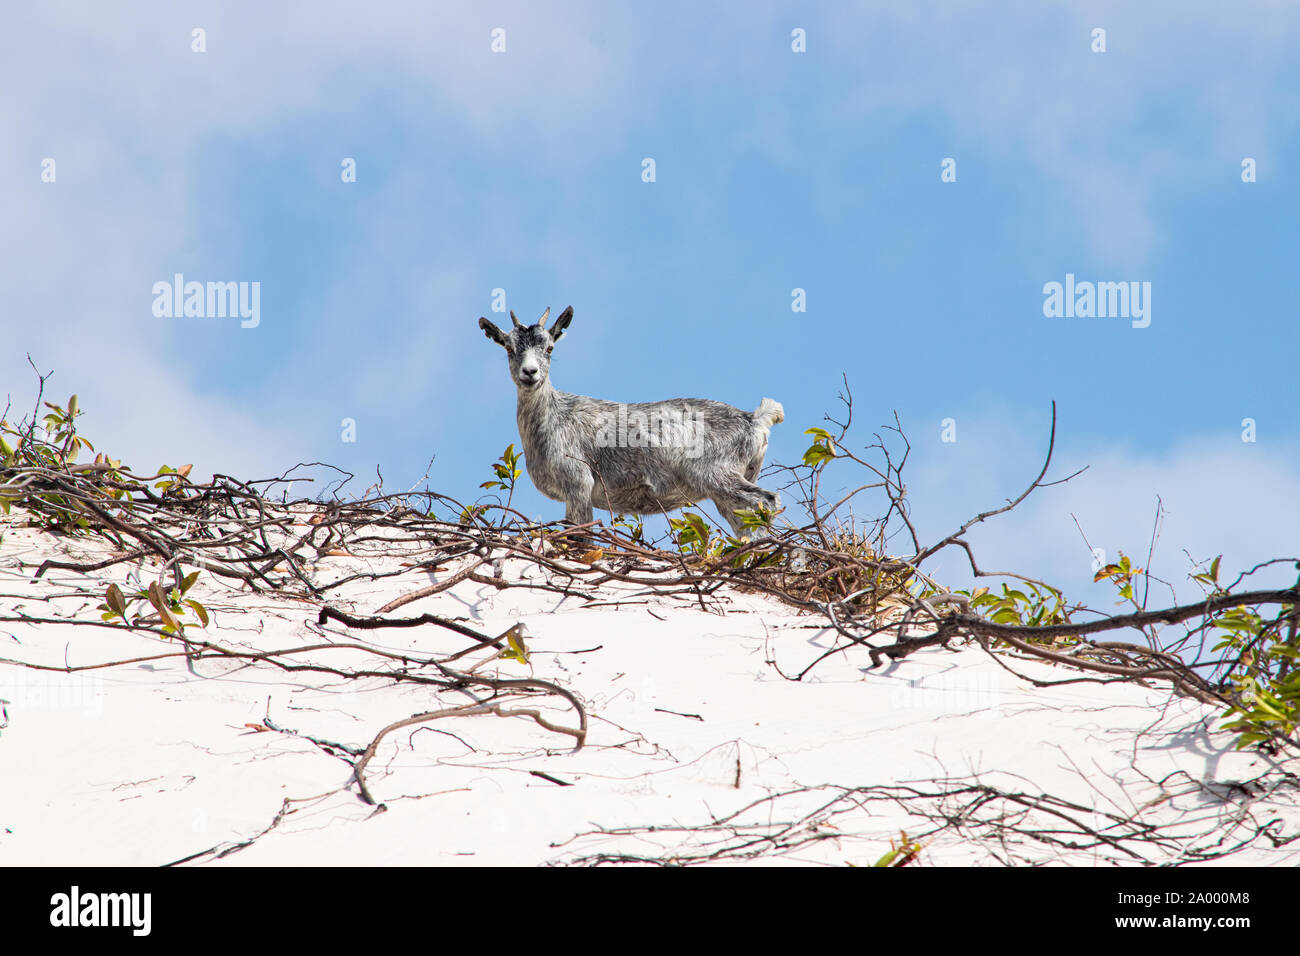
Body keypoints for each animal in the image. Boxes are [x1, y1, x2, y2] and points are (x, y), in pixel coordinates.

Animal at [478, 306, 780, 538]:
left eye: (550, 348)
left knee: (765, 501)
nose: (530, 372)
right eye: (509, 348)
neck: (553, 418)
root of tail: (754, 419)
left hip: (715, 472)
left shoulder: (578, 482)